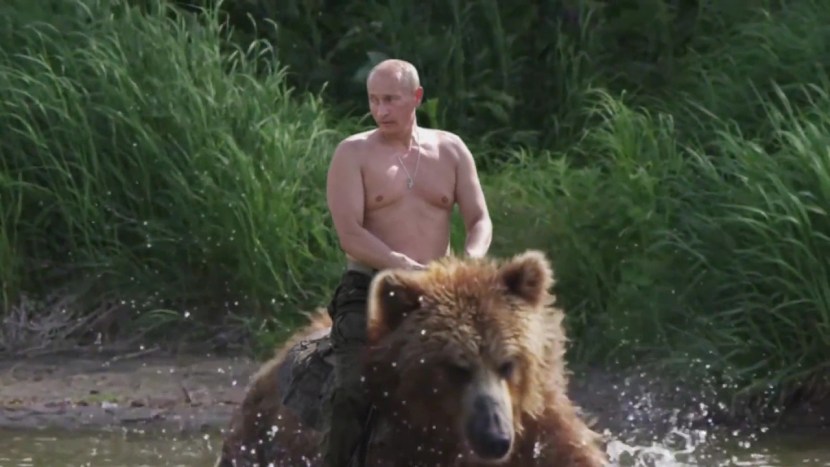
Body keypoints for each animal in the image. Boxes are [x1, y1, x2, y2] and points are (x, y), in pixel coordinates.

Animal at [215, 249, 608, 466]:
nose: (495, 437)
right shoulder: (398, 444)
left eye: (508, 363)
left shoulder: (538, 426)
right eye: (455, 368)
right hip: (261, 437)